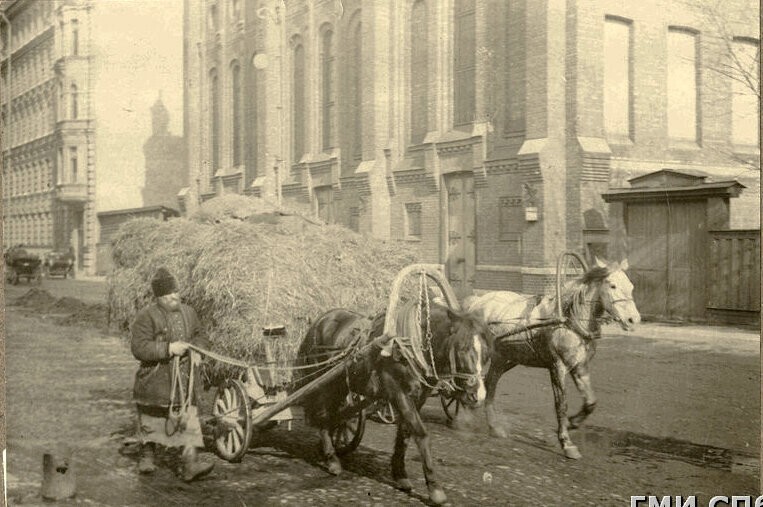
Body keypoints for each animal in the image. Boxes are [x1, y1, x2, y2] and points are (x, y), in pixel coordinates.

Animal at [296, 300, 492, 506]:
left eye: (487, 354)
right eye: (462, 348)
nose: (478, 395)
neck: (412, 344)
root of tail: (321, 319)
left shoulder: (418, 398)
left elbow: (405, 434)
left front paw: (400, 474)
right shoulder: (399, 393)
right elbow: (421, 434)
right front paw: (435, 489)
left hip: (340, 382)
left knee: (333, 416)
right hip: (322, 381)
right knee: (322, 414)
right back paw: (331, 458)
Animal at [466, 258, 640, 460]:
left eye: (631, 286)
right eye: (612, 286)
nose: (633, 320)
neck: (570, 320)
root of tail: (477, 301)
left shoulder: (580, 367)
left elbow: (590, 402)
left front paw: (573, 422)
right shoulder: (558, 367)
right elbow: (561, 404)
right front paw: (566, 442)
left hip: (504, 358)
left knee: (489, 383)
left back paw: (494, 426)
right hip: (483, 352)